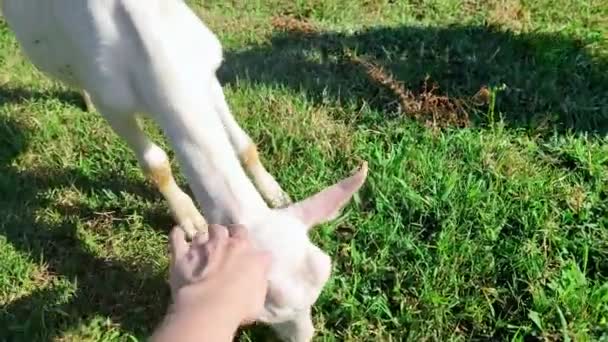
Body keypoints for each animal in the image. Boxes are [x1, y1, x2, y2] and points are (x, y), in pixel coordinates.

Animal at [2, 0, 368, 340]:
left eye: (322, 278)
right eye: (263, 309)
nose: (306, 337)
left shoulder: (206, 74)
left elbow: (244, 144)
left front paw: (274, 192)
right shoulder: (114, 104)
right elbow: (156, 163)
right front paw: (190, 219)